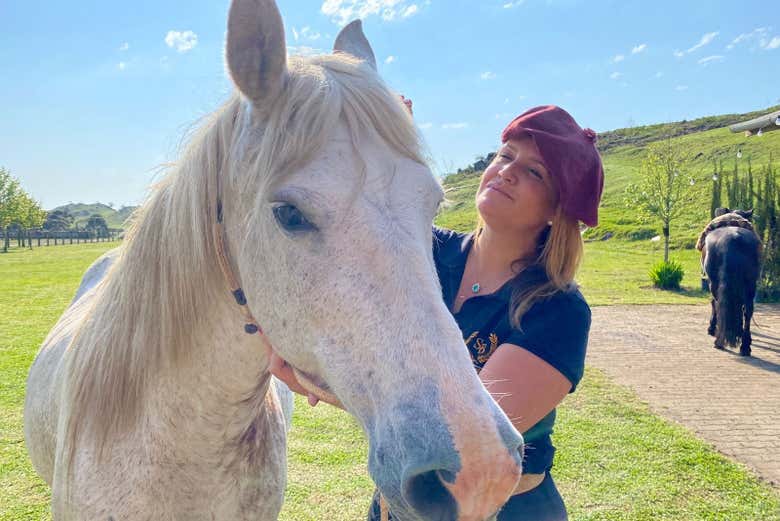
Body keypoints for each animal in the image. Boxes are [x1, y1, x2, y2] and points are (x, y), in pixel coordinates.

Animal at [702, 208, 762, 356]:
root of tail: (733, 239)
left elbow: (713, 303)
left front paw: (711, 327)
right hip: (750, 284)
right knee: (748, 310)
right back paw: (745, 346)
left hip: (715, 283)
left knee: (719, 303)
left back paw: (720, 340)